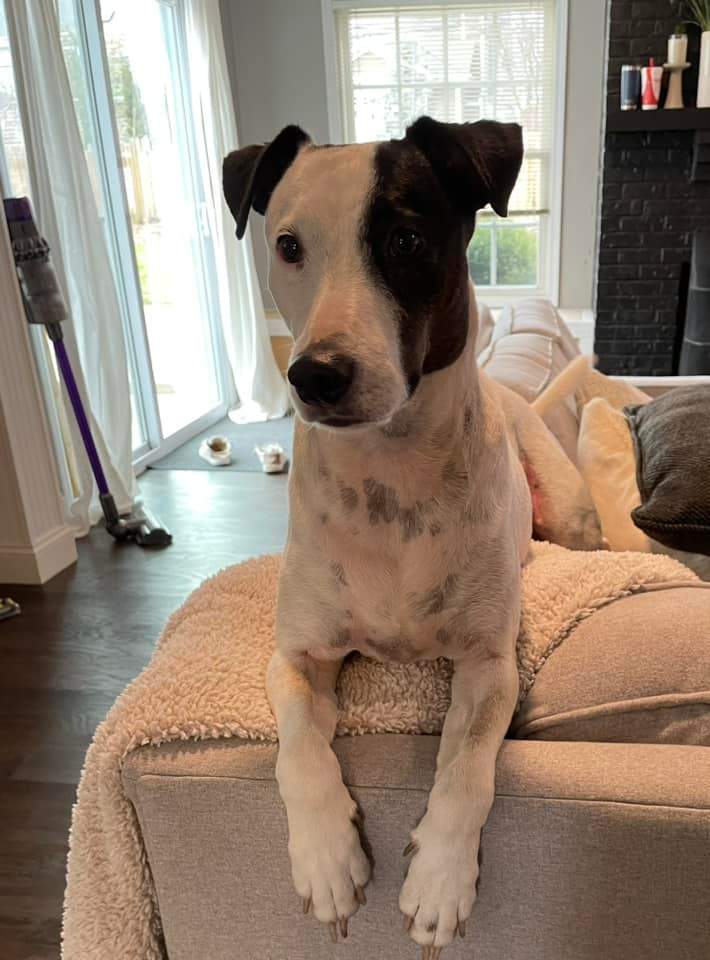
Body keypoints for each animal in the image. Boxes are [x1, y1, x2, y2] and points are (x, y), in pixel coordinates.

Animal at [222, 116, 600, 956]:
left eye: (405, 239)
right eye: (288, 244)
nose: (314, 376)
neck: (390, 477)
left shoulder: (490, 664)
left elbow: (467, 769)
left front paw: (439, 882)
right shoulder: (296, 657)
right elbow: (297, 752)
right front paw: (328, 860)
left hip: (571, 515)